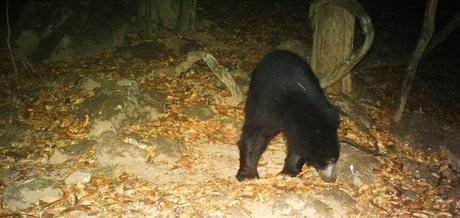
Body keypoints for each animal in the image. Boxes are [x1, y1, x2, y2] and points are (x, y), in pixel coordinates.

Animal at [235, 49, 340, 182]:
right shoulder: (267, 103)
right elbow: (255, 133)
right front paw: (248, 175)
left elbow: (297, 145)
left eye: (335, 159)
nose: (332, 178)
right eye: (330, 160)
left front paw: (288, 172)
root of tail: (280, 51)